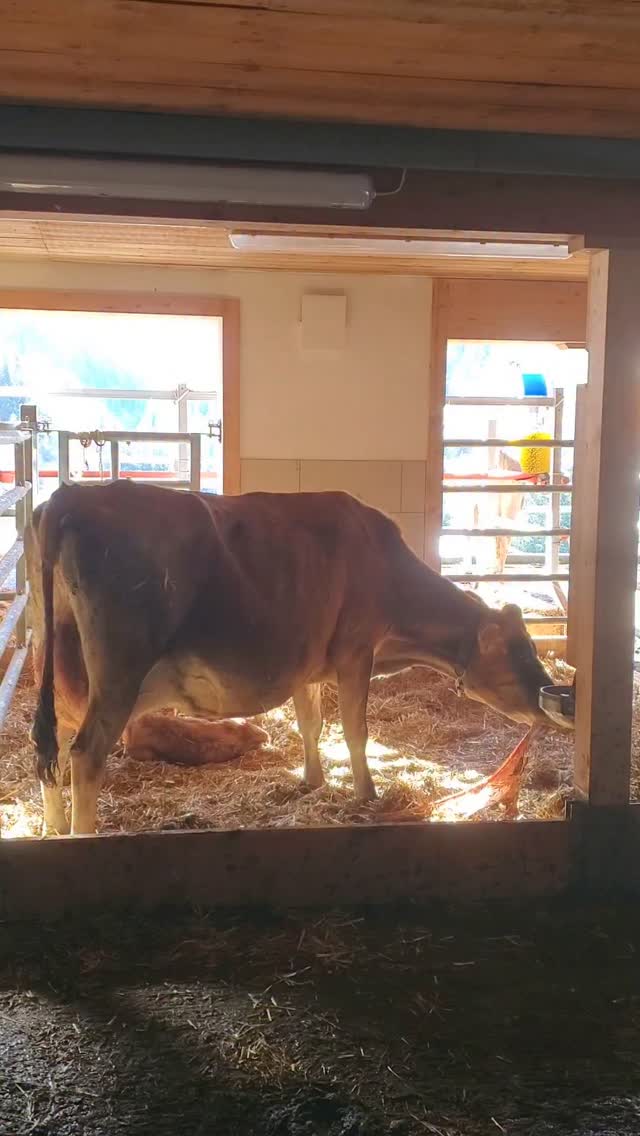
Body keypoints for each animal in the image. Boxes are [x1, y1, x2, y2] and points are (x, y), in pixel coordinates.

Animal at [26, 481, 570, 836]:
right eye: (520, 652)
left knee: (52, 747)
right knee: (85, 752)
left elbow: (312, 723)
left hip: (55, 666)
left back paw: (52, 827)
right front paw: (366, 794)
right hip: (118, 672)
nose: (547, 702)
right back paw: (82, 835)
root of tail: (68, 496)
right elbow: (354, 729)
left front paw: (312, 780)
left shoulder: (310, 664)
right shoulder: (355, 651)